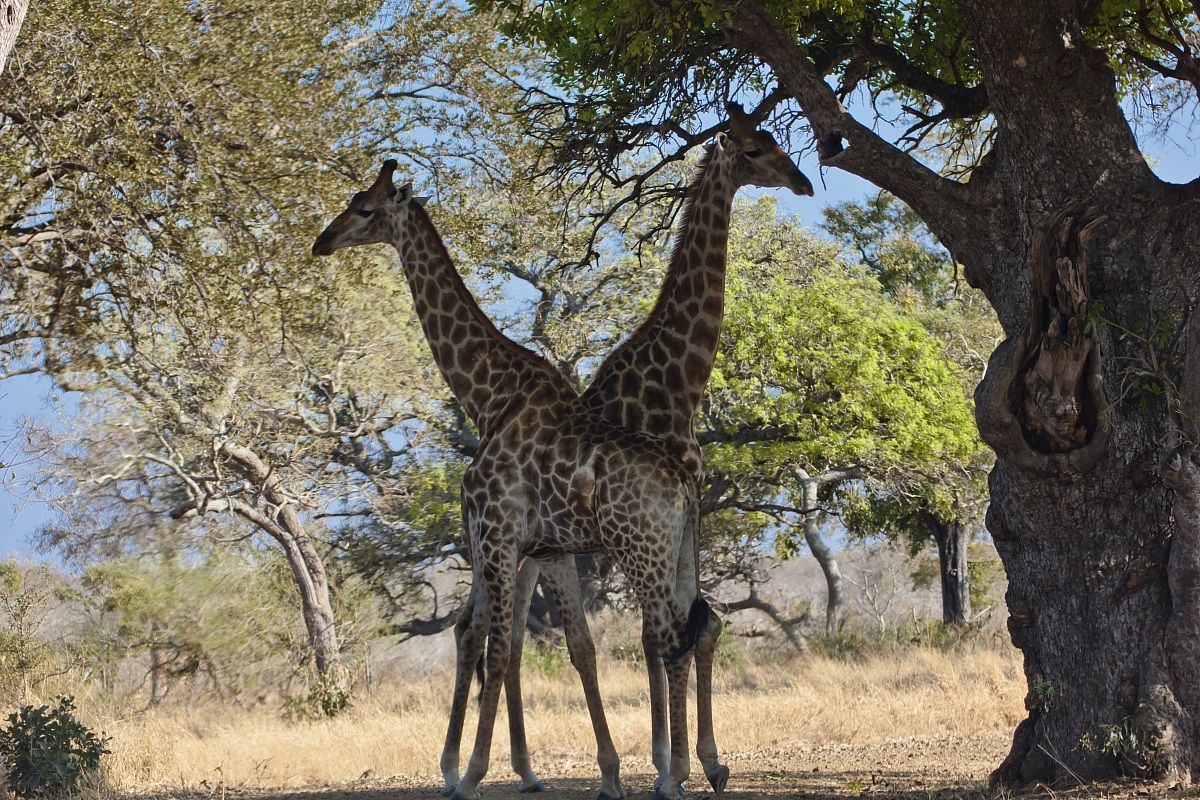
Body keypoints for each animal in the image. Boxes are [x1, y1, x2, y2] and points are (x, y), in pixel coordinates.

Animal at [313, 161, 709, 800]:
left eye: (367, 209)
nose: (322, 241)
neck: (491, 395)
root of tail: (681, 481)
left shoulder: (496, 530)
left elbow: (497, 648)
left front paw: (472, 772)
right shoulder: (520, 542)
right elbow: (520, 642)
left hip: (640, 551)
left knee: (669, 637)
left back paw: (672, 777)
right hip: (674, 551)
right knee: (688, 630)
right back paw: (684, 769)